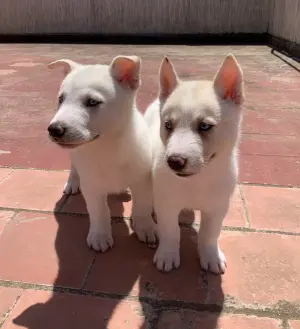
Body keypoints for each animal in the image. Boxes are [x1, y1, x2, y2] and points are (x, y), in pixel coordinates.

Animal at [47, 56, 156, 251]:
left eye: (92, 102)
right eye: (61, 99)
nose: (54, 129)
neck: (106, 146)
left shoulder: (143, 180)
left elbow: (143, 206)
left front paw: (145, 227)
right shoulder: (92, 185)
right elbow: (99, 212)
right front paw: (99, 236)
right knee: (74, 167)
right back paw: (72, 183)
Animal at [144, 53, 245, 272]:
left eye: (205, 126)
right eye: (168, 125)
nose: (174, 161)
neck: (198, 179)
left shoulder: (218, 207)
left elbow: (209, 234)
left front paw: (211, 257)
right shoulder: (167, 203)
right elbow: (170, 231)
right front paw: (167, 255)